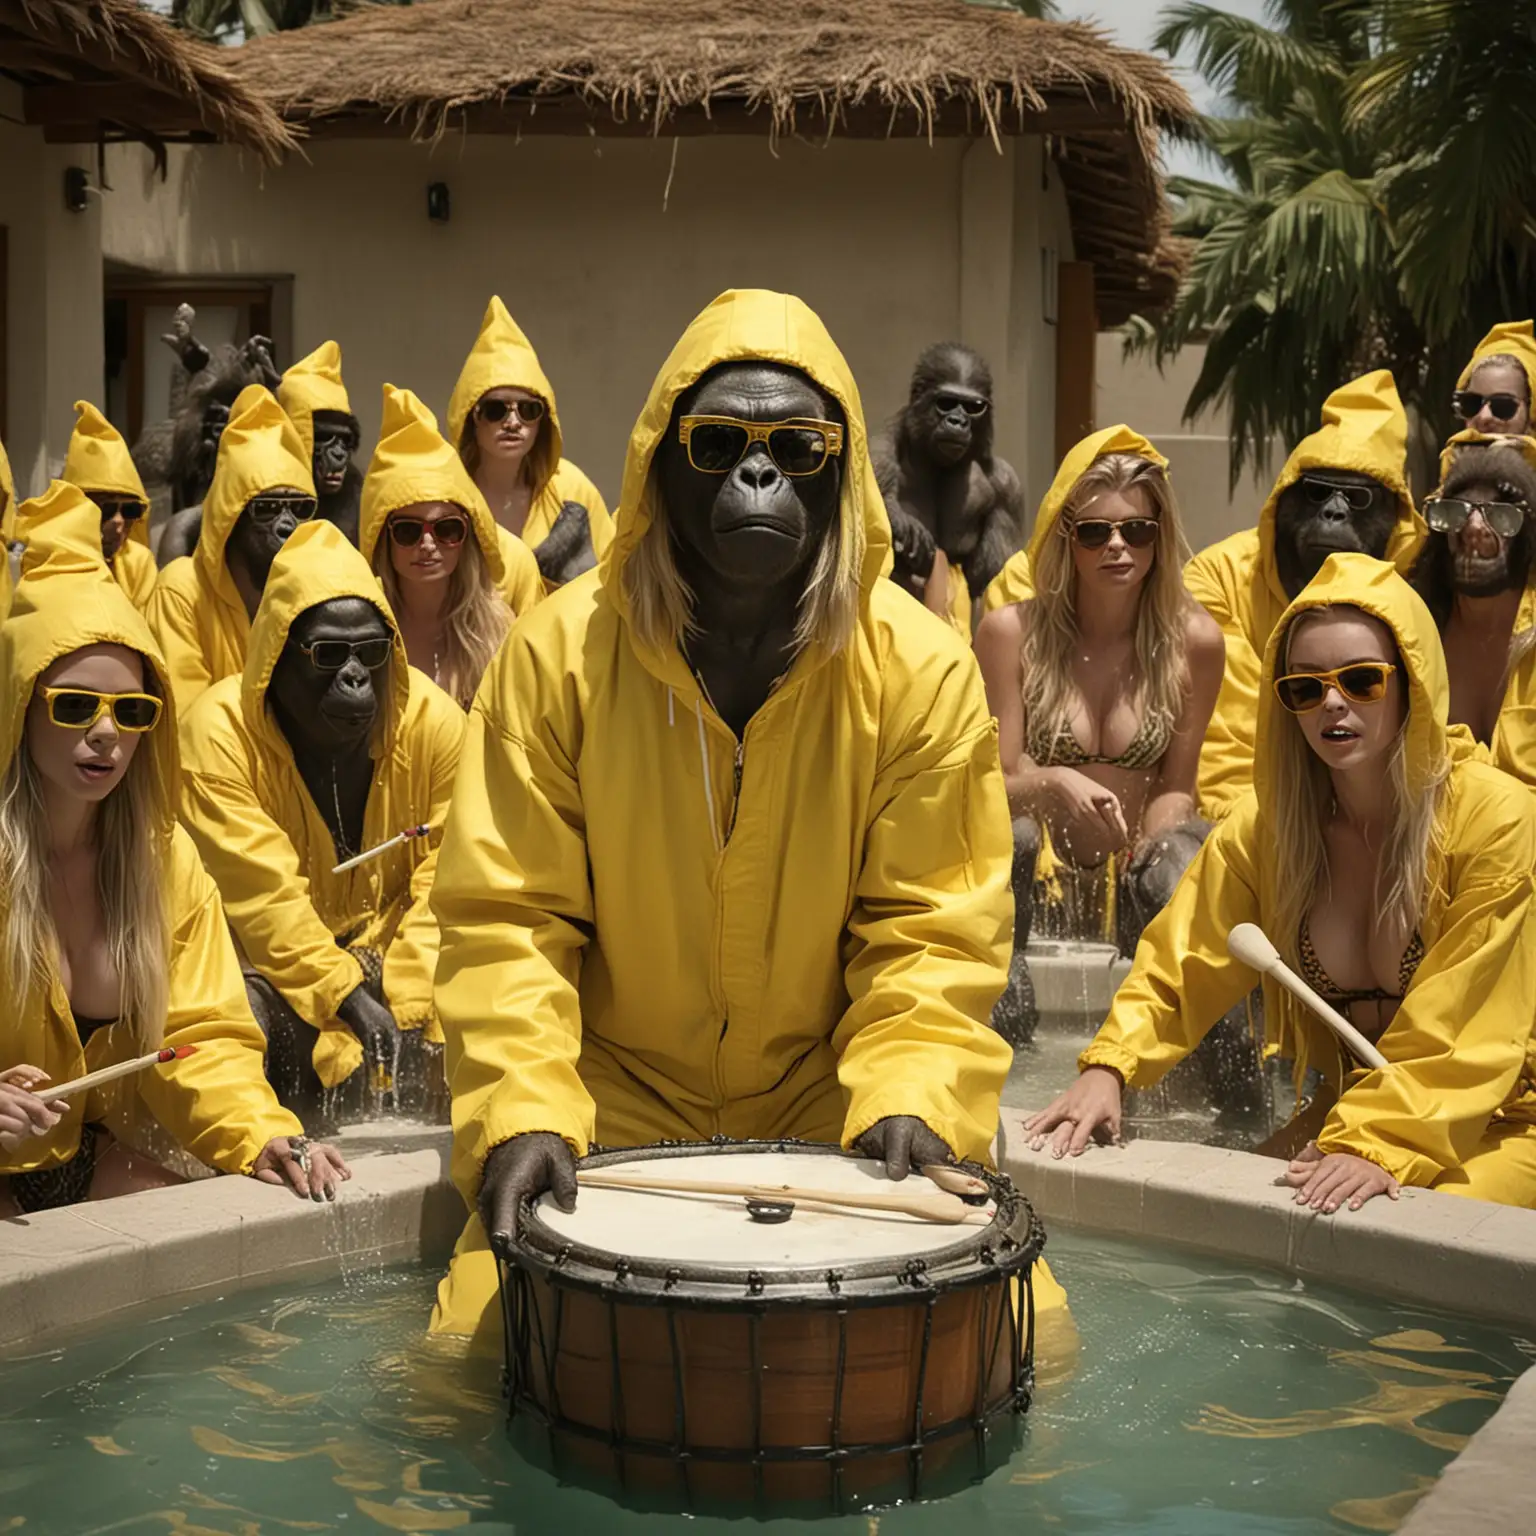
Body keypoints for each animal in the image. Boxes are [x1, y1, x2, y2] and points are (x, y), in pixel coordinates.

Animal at [878, 345, 1019, 608]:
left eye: (974, 407)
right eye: (946, 402)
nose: (957, 421)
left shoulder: (1008, 486)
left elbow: (988, 584)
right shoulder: (881, 446)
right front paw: (904, 527)